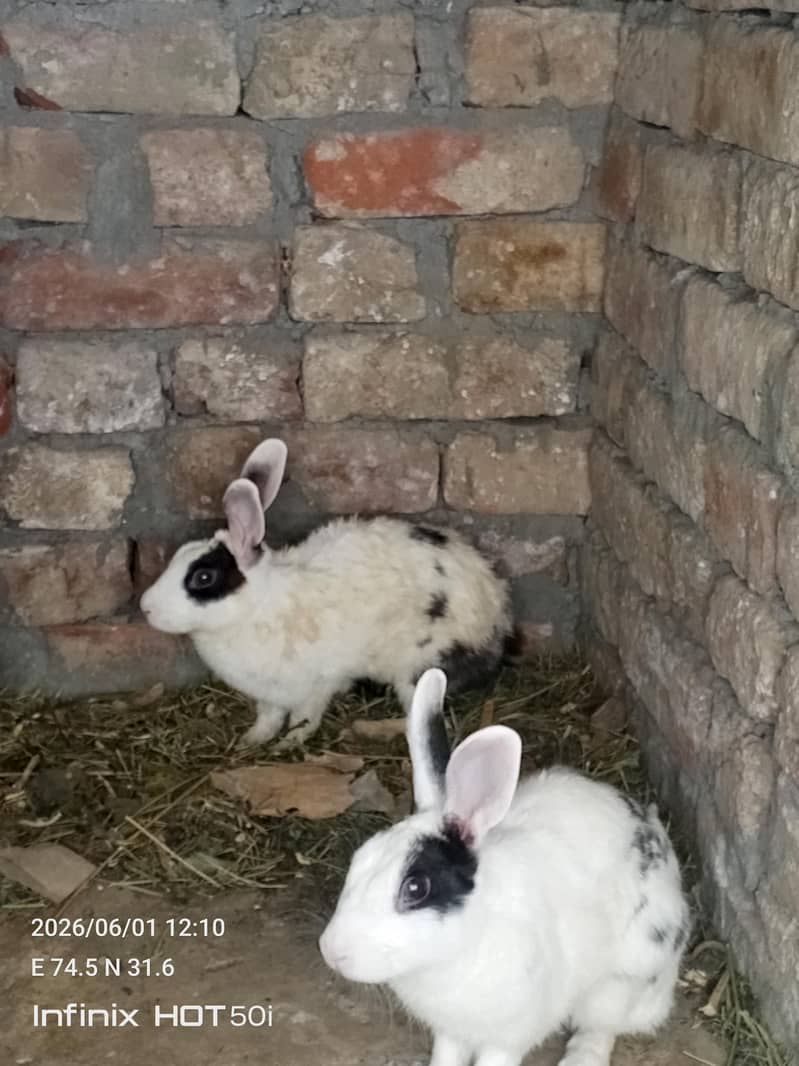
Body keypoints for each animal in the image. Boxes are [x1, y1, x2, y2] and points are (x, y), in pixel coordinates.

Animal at [140, 439, 512, 749]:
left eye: (203, 577)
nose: (145, 607)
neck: (259, 608)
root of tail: (497, 616)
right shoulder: (269, 695)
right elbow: (268, 717)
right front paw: (252, 740)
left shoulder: (316, 686)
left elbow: (306, 718)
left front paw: (288, 743)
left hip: (419, 667)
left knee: (418, 716)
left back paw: (369, 729)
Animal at [319, 668, 690, 1066]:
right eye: (359, 858)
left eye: (416, 888)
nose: (331, 952)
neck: (457, 950)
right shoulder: (449, 1031)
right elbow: (446, 1056)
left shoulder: (508, 1038)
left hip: (622, 978)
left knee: (600, 1028)